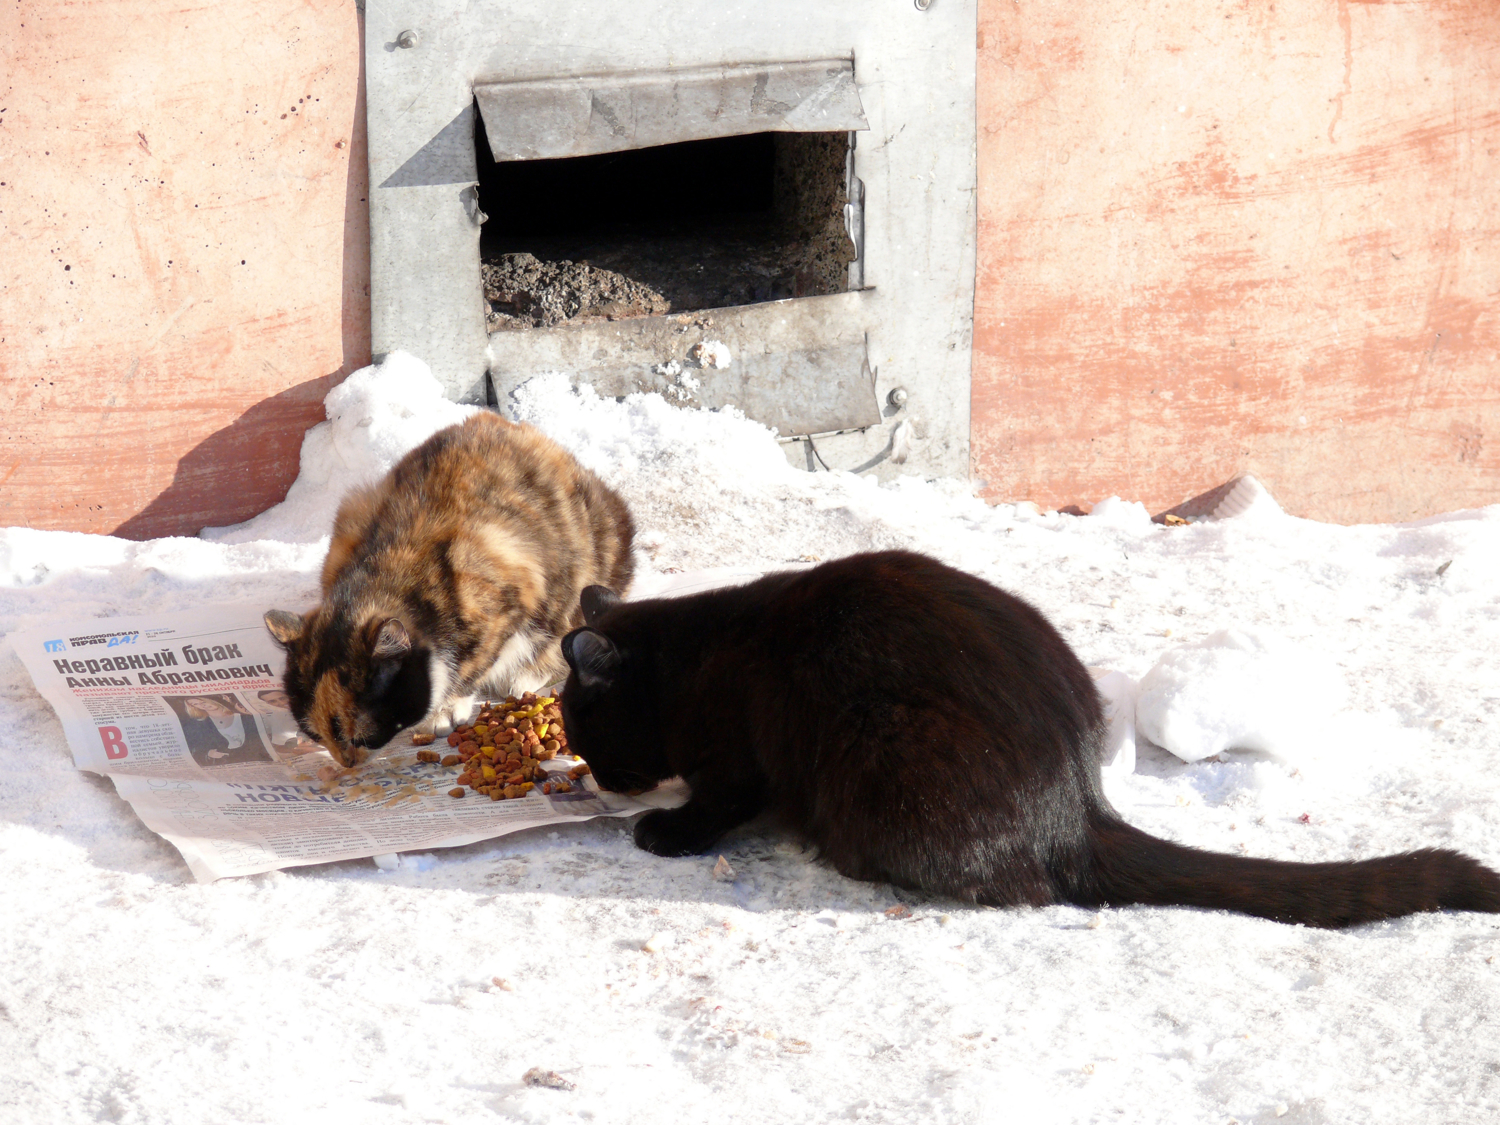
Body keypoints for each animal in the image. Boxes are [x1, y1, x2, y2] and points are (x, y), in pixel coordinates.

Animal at [264, 411, 633, 774]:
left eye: (363, 737)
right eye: (315, 736)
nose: (346, 763)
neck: (391, 578)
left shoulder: (506, 596)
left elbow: (476, 663)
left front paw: (445, 709)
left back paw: (525, 676)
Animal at [561, 552, 1500, 930]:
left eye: (582, 729)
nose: (596, 778)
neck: (685, 658)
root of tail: (1080, 807)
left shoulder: (736, 761)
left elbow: (718, 801)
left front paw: (665, 829)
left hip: (884, 747)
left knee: (1021, 887)